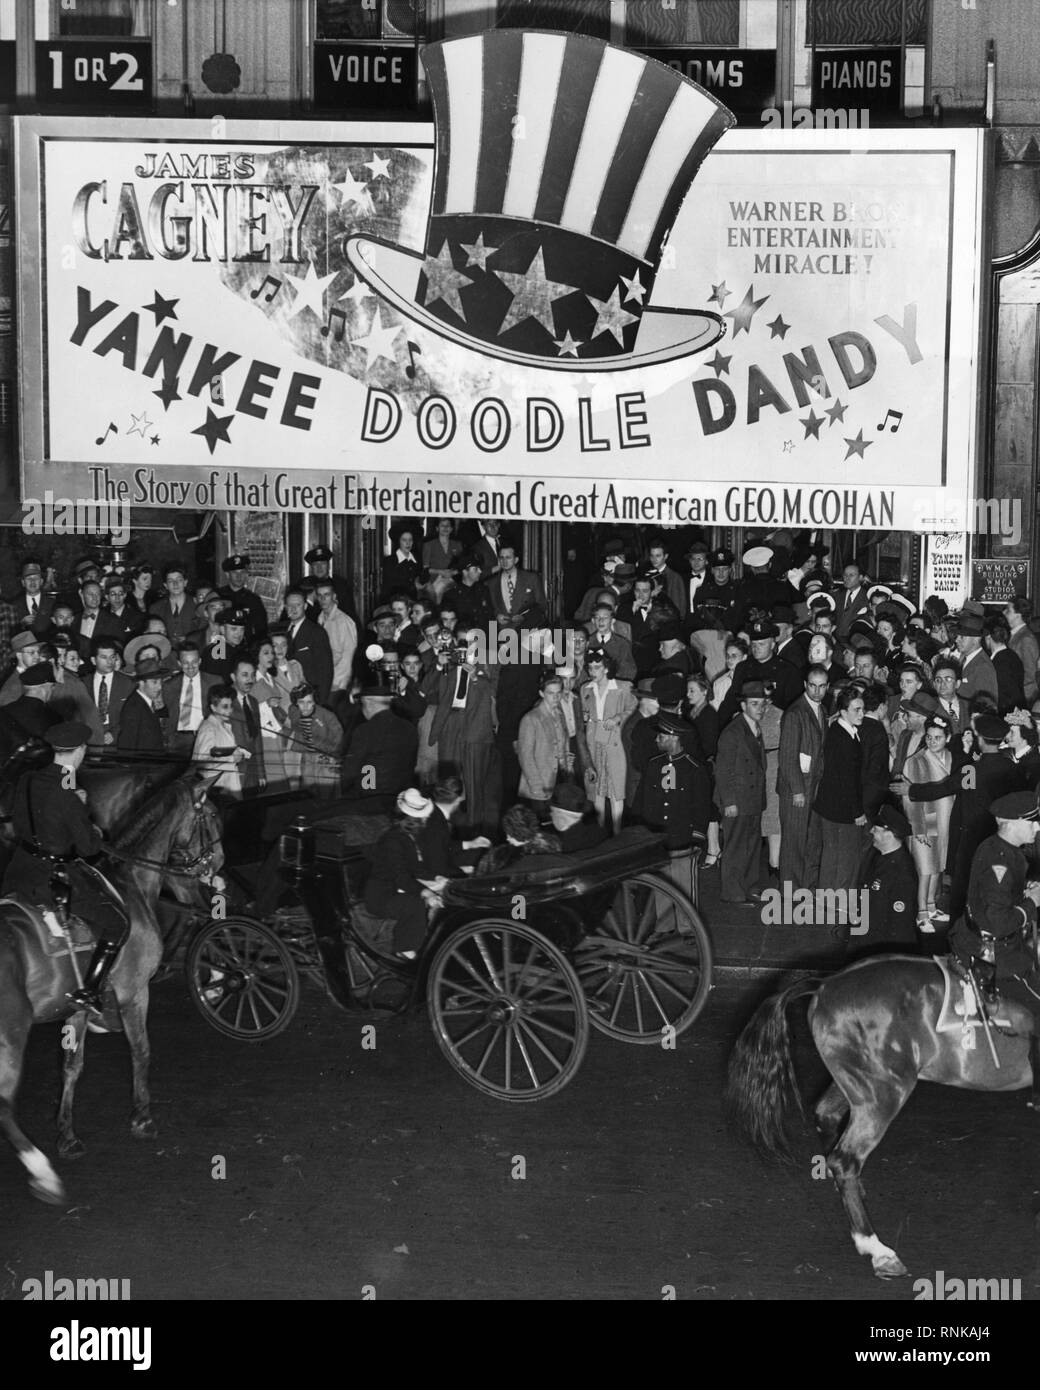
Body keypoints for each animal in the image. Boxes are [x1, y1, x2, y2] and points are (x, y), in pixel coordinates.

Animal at [1, 772, 221, 1206]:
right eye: (212, 818)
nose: (215, 866)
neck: (130, 882)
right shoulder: (135, 993)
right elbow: (141, 1049)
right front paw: (142, 1117)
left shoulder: (77, 1005)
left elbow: (72, 1066)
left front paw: (67, 1135)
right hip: (12, 1035)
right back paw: (43, 1174)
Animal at [728, 956, 1034, 1278]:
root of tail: (825, 985)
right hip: (883, 1093)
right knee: (845, 1158)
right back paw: (876, 1248)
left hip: (858, 1087)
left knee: (826, 1116)